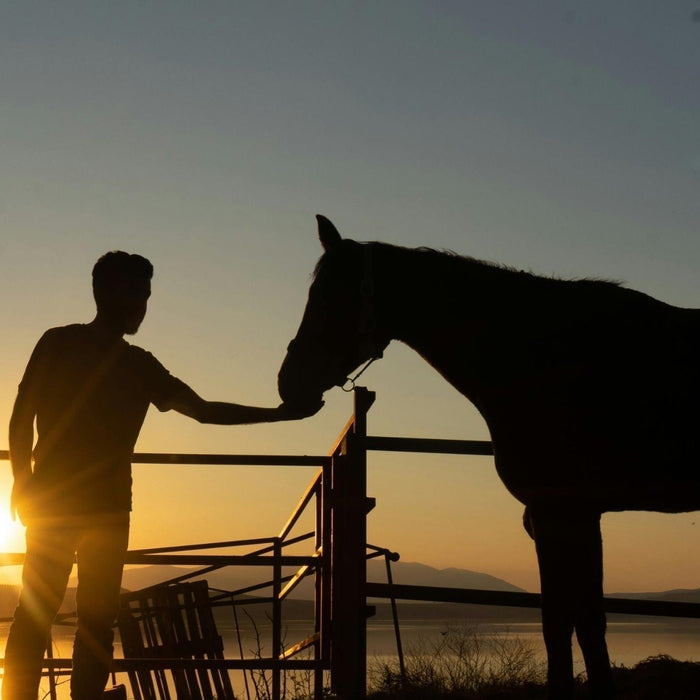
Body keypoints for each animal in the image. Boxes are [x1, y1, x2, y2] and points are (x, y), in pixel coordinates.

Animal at [277, 214, 700, 699]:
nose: (288, 384)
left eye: (328, 298)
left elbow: (563, 624)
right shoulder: (571, 513)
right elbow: (583, 621)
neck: (542, 359)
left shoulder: (561, 510)